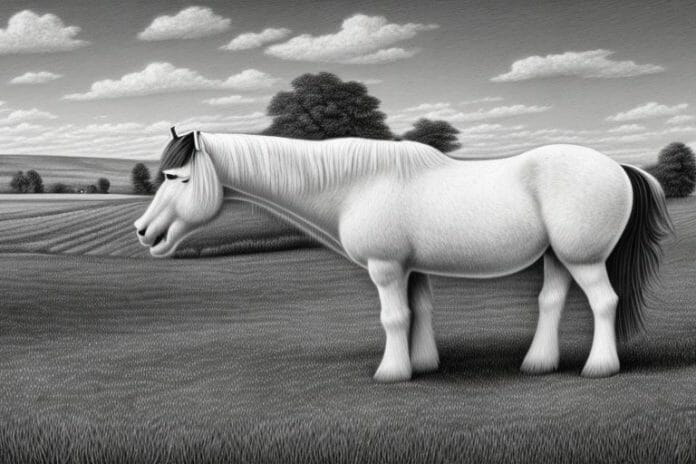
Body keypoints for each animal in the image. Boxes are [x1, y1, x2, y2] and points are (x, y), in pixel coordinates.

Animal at [134, 128, 673, 382]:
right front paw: (423, 364)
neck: (357, 184)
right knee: (551, 303)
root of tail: (617, 167)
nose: (143, 232)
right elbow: (421, 312)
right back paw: (538, 364)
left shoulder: (386, 268)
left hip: (583, 258)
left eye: (177, 177)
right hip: (558, 257)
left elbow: (394, 318)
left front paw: (392, 372)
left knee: (603, 303)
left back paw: (599, 367)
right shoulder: (410, 269)